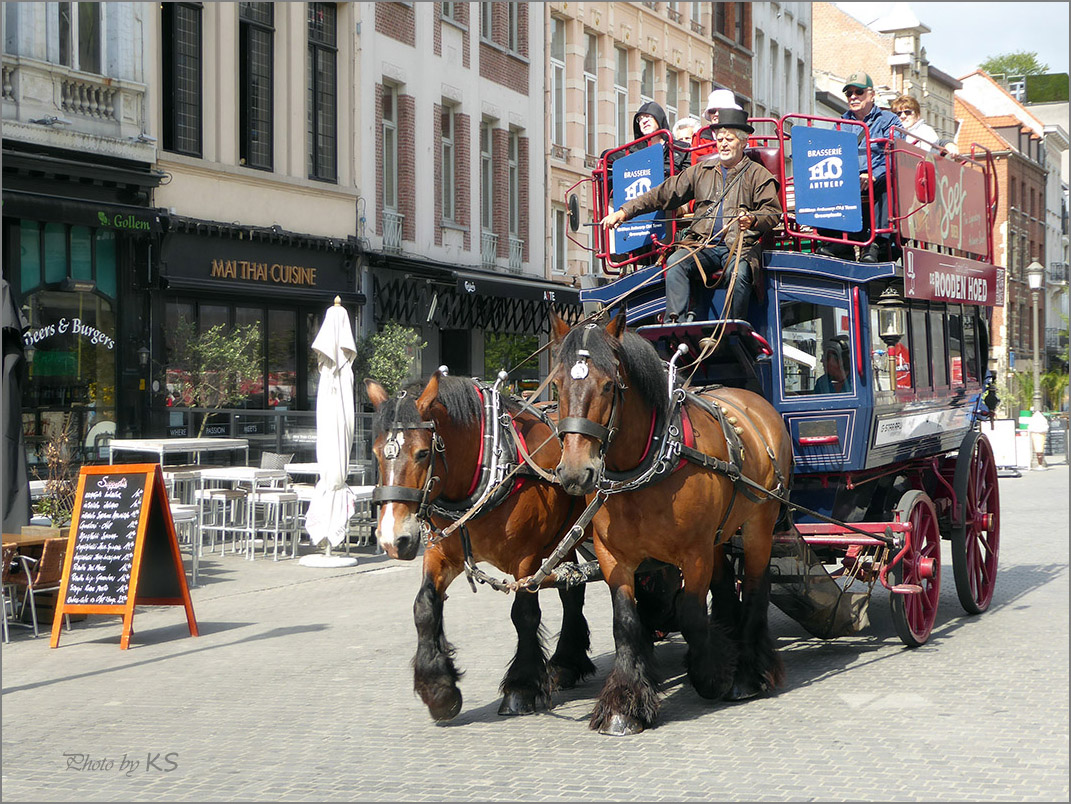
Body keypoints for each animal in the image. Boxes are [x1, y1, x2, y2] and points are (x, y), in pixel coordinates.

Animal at [364, 376, 599, 723]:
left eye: (422, 453)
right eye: (377, 452)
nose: (394, 540)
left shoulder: (526, 560)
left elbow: (524, 615)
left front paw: (520, 687)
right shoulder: (442, 554)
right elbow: (424, 607)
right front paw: (439, 689)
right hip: (565, 539)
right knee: (572, 592)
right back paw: (566, 664)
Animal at [548, 310, 792, 740]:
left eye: (609, 385)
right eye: (558, 384)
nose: (575, 472)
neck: (649, 463)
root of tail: (755, 402)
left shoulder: (693, 554)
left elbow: (690, 612)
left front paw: (712, 674)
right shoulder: (614, 557)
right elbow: (626, 621)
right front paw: (624, 704)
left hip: (759, 522)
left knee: (756, 586)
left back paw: (748, 670)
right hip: (720, 533)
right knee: (726, 582)